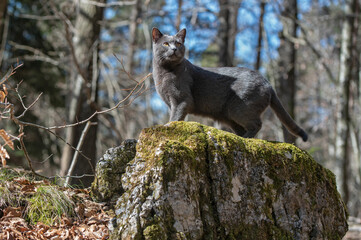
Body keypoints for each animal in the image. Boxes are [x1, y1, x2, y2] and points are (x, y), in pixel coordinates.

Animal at [151, 27, 306, 142]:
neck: (164, 72)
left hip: (239, 108)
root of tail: (268, 83)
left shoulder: (181, 100)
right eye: (166, 44)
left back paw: (245, 139)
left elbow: (175, 118)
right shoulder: (171, 102)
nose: (174, 49)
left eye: (178, 43)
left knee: (257, 124)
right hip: (229, 116)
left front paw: (167, 126)